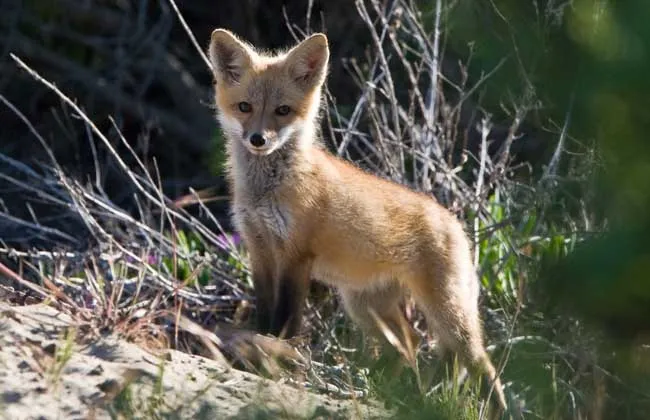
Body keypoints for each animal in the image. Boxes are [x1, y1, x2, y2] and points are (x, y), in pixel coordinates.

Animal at [206, 27, 506, 416]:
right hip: (365, 306)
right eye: (244, 107)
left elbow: (285, 322)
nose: (258, 139)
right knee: (408, 345)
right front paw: (261, 351)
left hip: (446, 314)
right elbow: (265, 313)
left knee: (482, 365)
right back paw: (392, 391)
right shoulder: (259, 249)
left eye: (282, 111)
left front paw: (275, 359)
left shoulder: (295, 255)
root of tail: (455, 222)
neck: (266, 191)